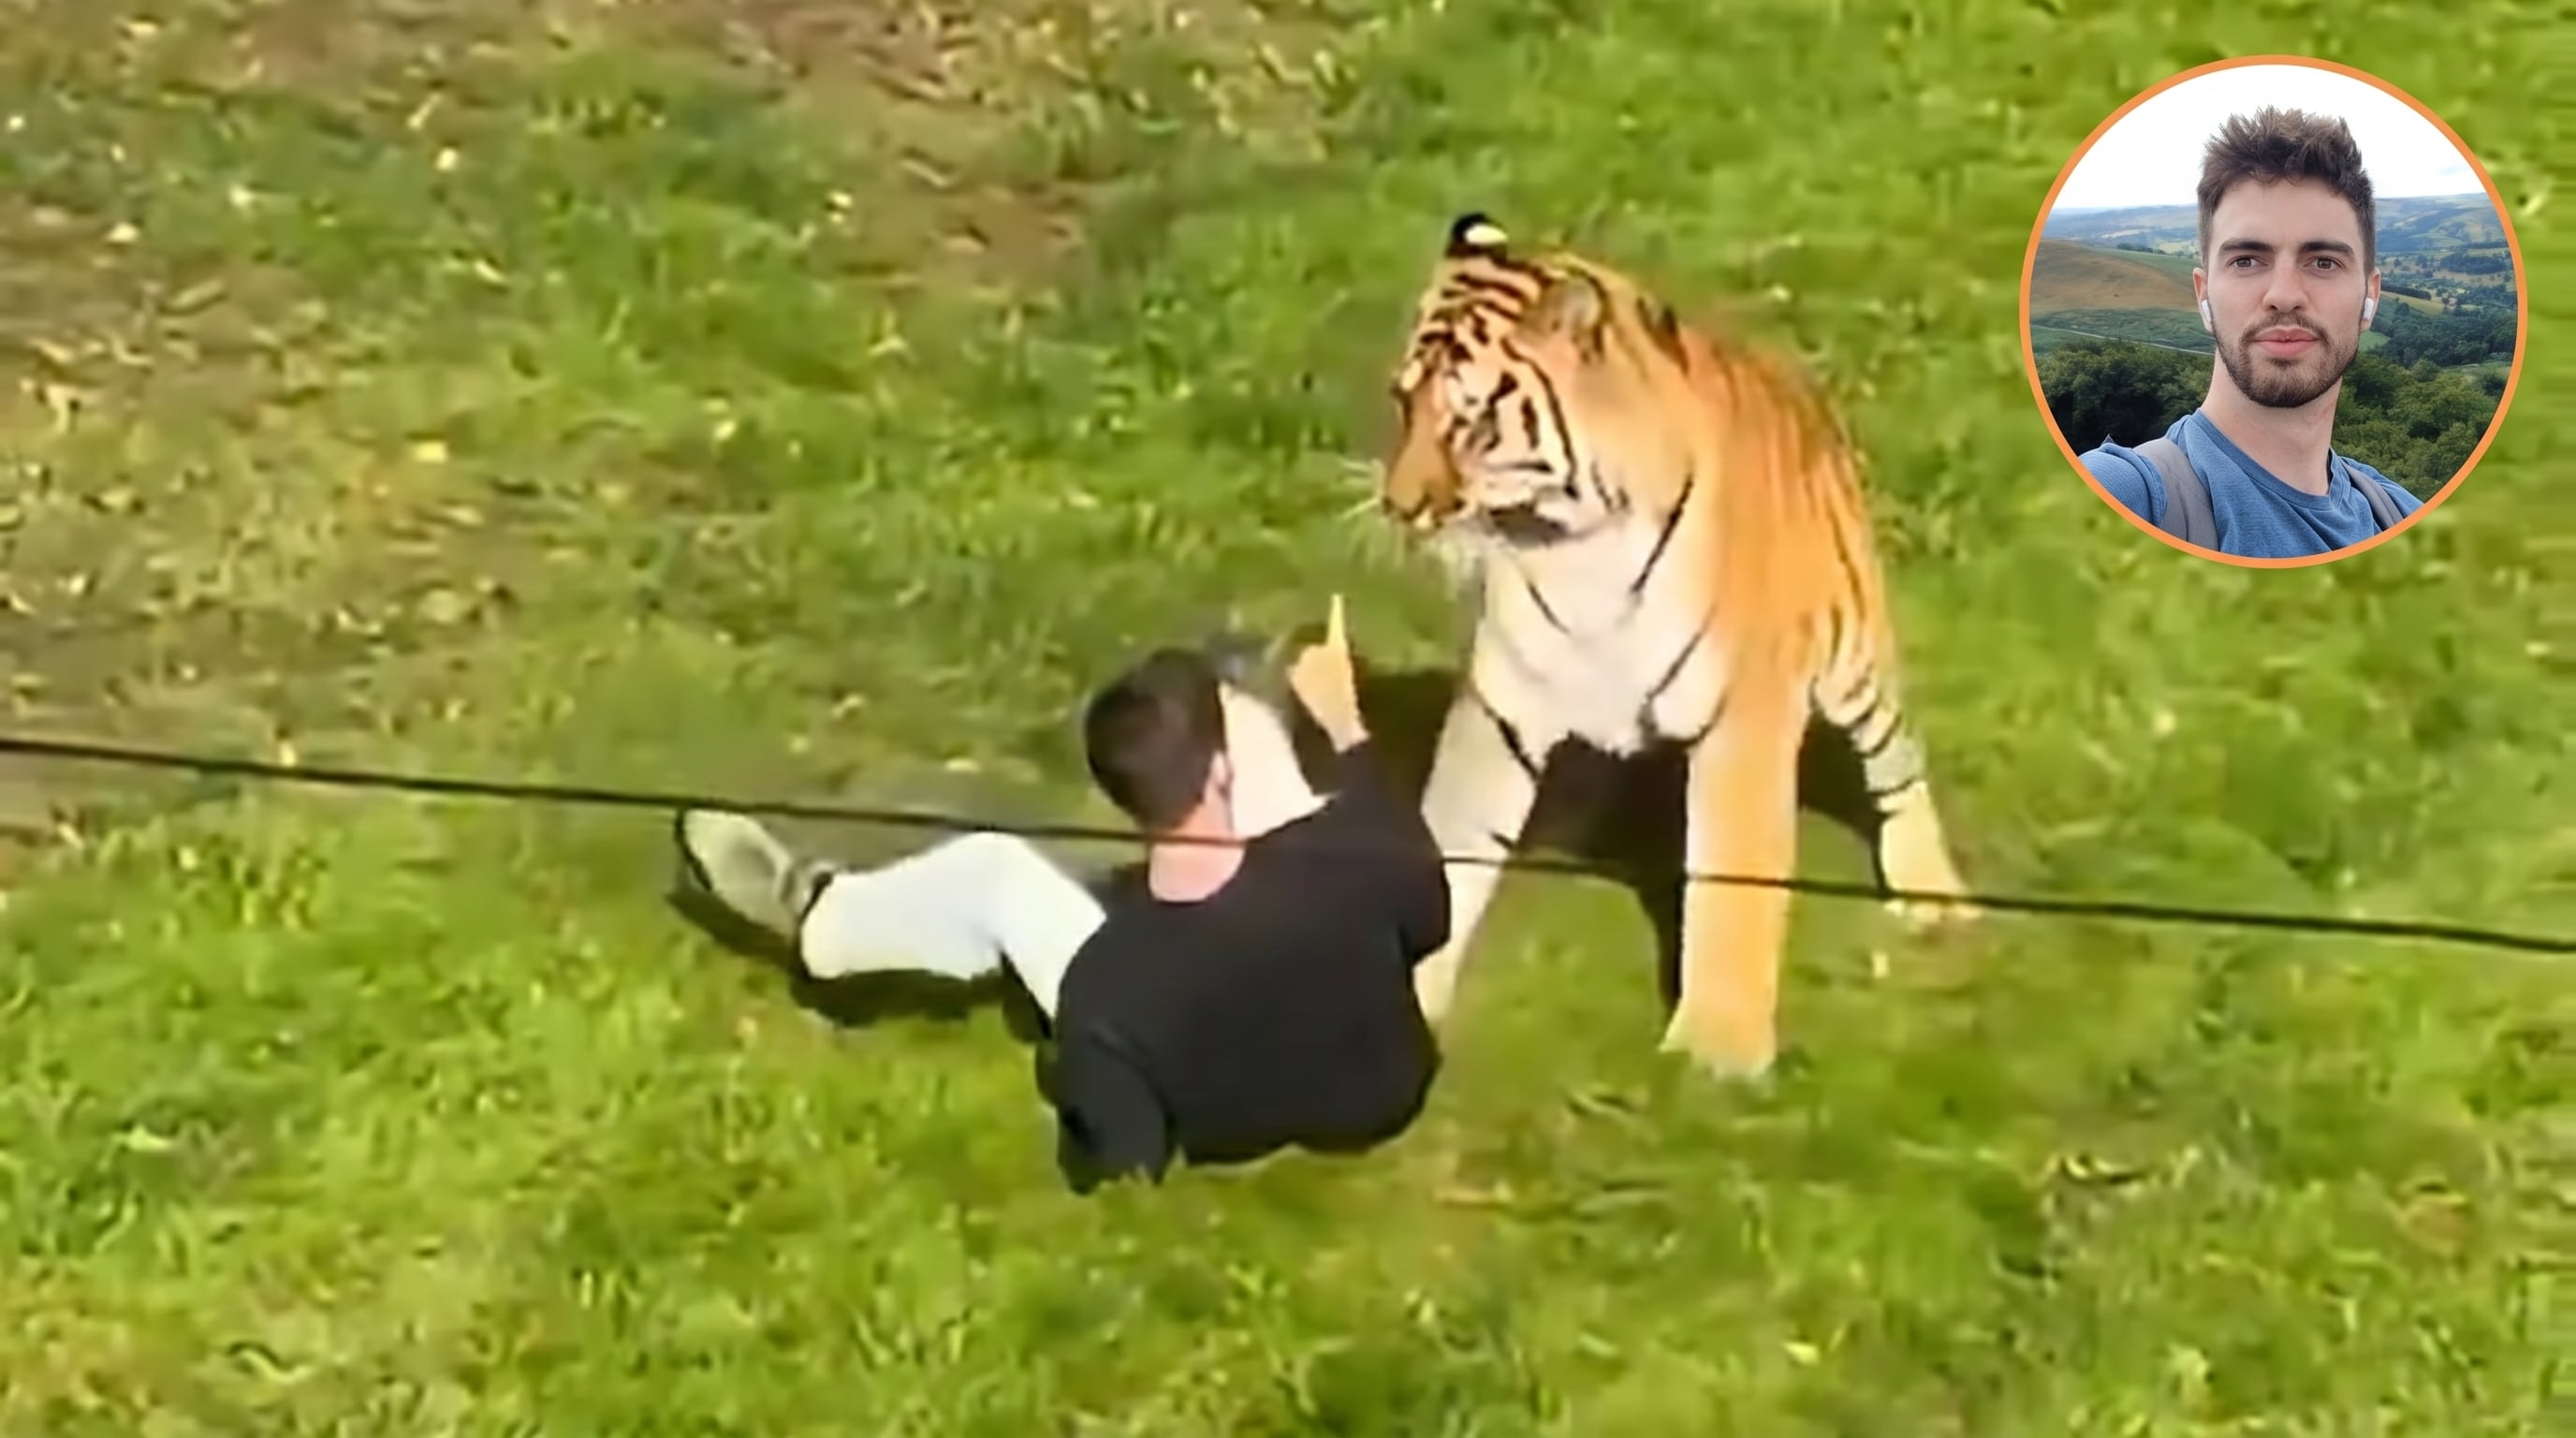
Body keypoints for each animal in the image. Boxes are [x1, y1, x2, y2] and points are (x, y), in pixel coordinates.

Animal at [1375, 212, 1979, 1079]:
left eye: (1473, 420)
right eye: (1403, 403)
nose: (1399, 506)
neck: (1572, 542)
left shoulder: (1744, 722)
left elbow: (1731, 882)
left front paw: (1717, 1050)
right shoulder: (1501, 708)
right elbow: (1453, 838)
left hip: (1854, 666)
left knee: (1897, 764)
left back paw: (1931, 892)